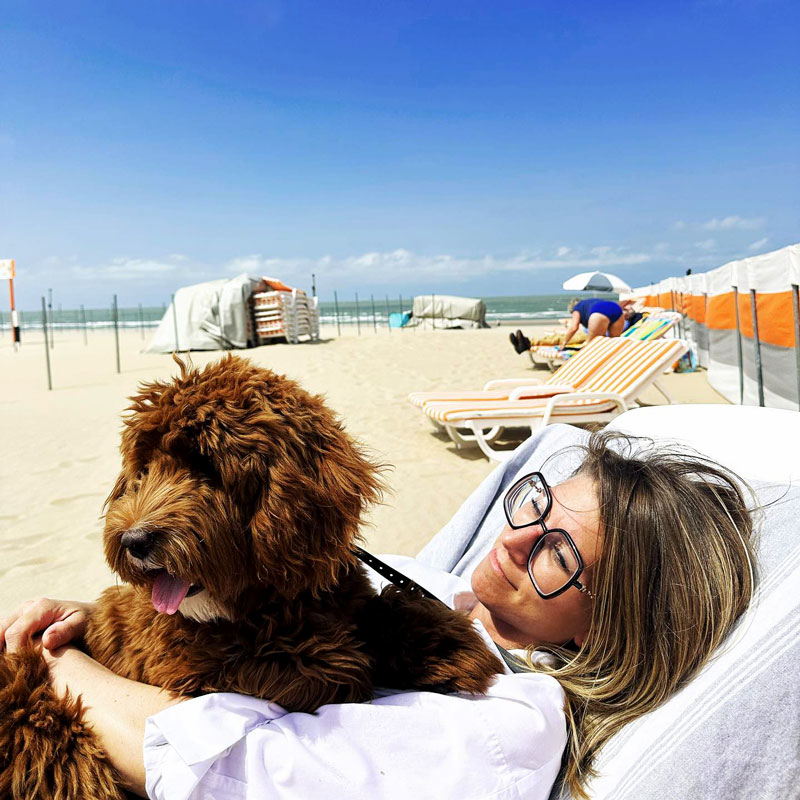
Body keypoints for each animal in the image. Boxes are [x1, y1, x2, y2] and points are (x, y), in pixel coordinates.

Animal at [0, 356, 500, 800]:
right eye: (143, 471)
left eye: (207, 468)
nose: (134, 540)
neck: (266, 604)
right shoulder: (183, 663)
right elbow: (316, 668)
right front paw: (354, 661)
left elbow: (379, 611)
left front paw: (450, 647)